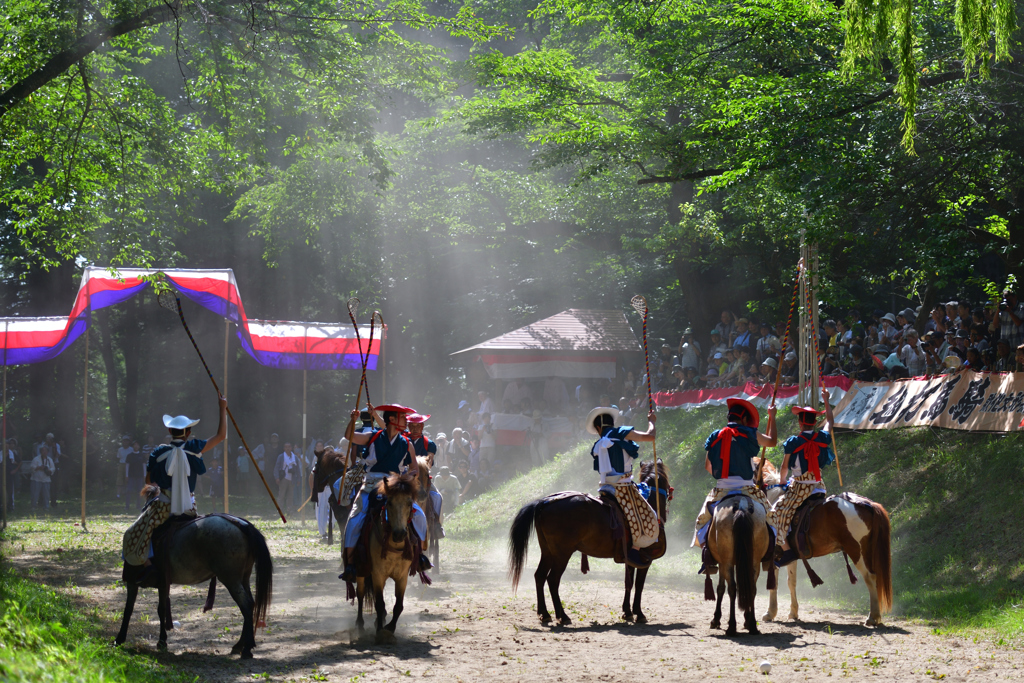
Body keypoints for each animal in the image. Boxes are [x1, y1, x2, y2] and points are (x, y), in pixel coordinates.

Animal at [115, 483, 272, 659]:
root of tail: (243, 525)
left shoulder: (132, 582)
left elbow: (129, 609)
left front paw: (120, 638)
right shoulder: (163, 583)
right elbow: (161, 609)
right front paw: (162, 641)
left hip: (231, 580)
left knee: (246, 605)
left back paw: (246, 648)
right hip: (242, 578)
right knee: (250, 604)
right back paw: (240, 645)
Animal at [352, 471, 415, 634]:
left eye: (409, 503)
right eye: (389, 503)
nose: (399, 534)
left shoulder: (402, 576)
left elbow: (398, 605)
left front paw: (390, 628)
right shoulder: (377, 574)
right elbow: (379, 604)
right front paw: (380, 631)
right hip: (361, 571)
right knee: (360, 593)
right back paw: (359, 623)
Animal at [505, 462, 671, 626]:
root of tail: (543, 503)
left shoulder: (631, 559)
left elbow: (628, 583)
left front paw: (627, 612)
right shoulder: (645, 559)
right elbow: (639, 585)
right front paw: (639, 613)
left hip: (547, 552)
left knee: (539, 576)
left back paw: (544, 614)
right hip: (561, 554)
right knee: (552, 580)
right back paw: (563, 616)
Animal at [708, 491, 770, 634]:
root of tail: (742, 505)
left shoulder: (722, 563)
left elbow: (720, 588)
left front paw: (716, 619)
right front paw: (747, 619)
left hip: (727, 562)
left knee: (732, 588)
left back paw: (731, 626)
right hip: (754, 561)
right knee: (751, 588)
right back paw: (752, 625)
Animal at [765, 485, 892, 626]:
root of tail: (867, 504)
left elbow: (773, 584)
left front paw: (770, 613)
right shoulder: (791, 558)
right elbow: (791, 582)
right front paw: (793, 612)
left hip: (856, 551)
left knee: (870, 577)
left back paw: (872, 617)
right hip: (867, 551)